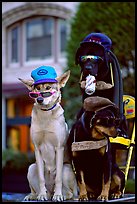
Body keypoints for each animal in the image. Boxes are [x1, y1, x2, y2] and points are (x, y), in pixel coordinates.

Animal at [18, 67, 77, 202]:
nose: (39, 99)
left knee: (69, 193)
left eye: (48, 88)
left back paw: (61, 195)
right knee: (38, 188)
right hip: (31, 168)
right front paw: (41, 195)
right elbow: (41, 178)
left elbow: (58, 178)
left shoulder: (59, 148)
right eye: (37, 89)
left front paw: (58, 195)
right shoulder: (37, 149)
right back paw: (35, 195)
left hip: (66, 169)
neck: (45, 115)